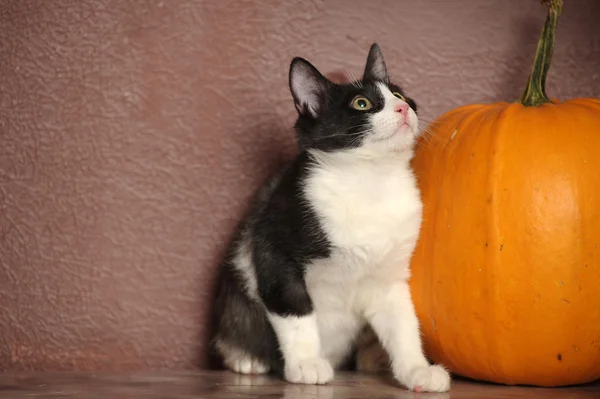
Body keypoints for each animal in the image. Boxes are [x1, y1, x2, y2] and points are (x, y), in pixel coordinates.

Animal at [211, 43, 450, 394]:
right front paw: (306, 363)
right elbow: (295, 310)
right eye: (361, 104)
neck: (369, 182)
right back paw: (246, 357)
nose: (403, 108)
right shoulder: (273, 245)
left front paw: (416, 369)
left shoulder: (388, 277)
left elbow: (403, 323)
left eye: (398, 94)